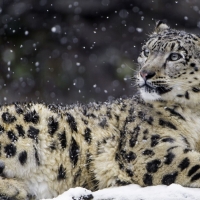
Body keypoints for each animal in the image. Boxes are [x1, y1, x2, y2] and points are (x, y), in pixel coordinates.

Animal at [1, 21, 200, 199]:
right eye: (146, 51)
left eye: (175, 56)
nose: (144, 73)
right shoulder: (151, 150)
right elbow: (192, 163)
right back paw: (16, 188)